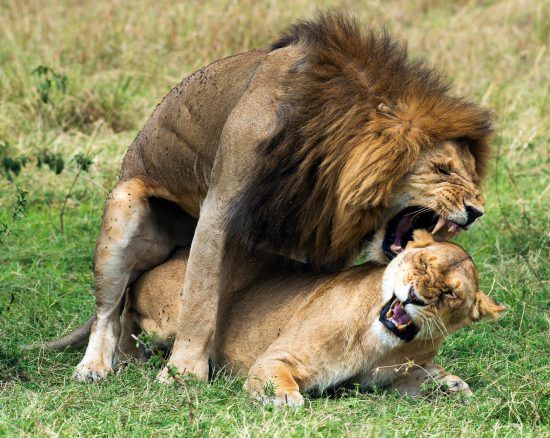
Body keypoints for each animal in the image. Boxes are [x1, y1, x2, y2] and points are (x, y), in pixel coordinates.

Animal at [49, 231, 506, 406]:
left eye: (449, 294)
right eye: (422, 264)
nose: (415, 297)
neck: (383, 344)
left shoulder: (398, 379)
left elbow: (427, 378)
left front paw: (453, 383)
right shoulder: (275, 359)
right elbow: (281, 380)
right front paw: (286, 399)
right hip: (172, 314)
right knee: (121, 313)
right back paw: (117, 360)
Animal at [72, 12, 492, 384]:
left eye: (472, 174)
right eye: (441, 169)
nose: (476, 211)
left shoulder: (317, 234)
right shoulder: (220, 205)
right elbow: (199, 299)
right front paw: (185, 372)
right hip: (124, 205)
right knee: (109, 310)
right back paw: (97, 365)